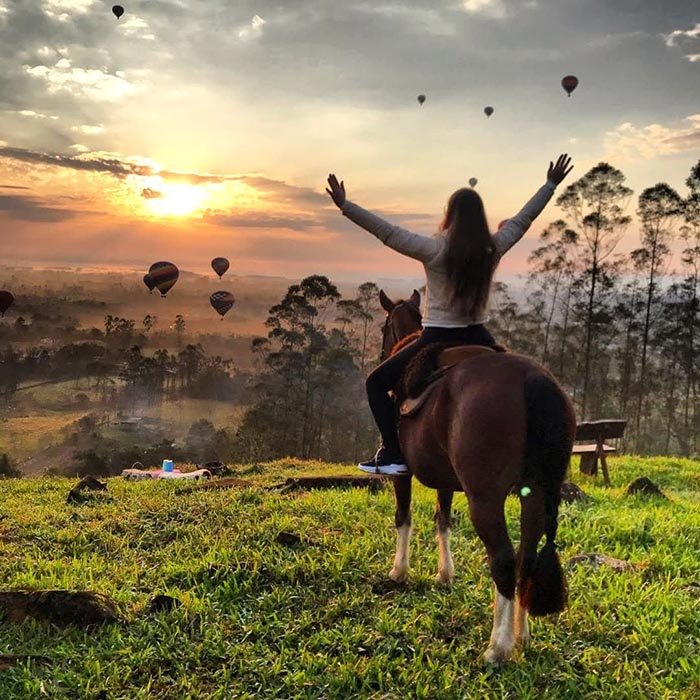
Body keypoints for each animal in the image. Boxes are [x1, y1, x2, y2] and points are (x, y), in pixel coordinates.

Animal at [380, 290, 576, 660]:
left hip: (484, 498)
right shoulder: (444, 478)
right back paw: (521, 635)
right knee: (527, 556)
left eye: (384, 328)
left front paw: (399, 571)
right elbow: (443, 520)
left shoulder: (402, 472)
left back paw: (498, 646)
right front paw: (445, 573)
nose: (383, 353)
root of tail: (532, 380)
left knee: (504, 560)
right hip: (535, 490)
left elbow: (403, 517)